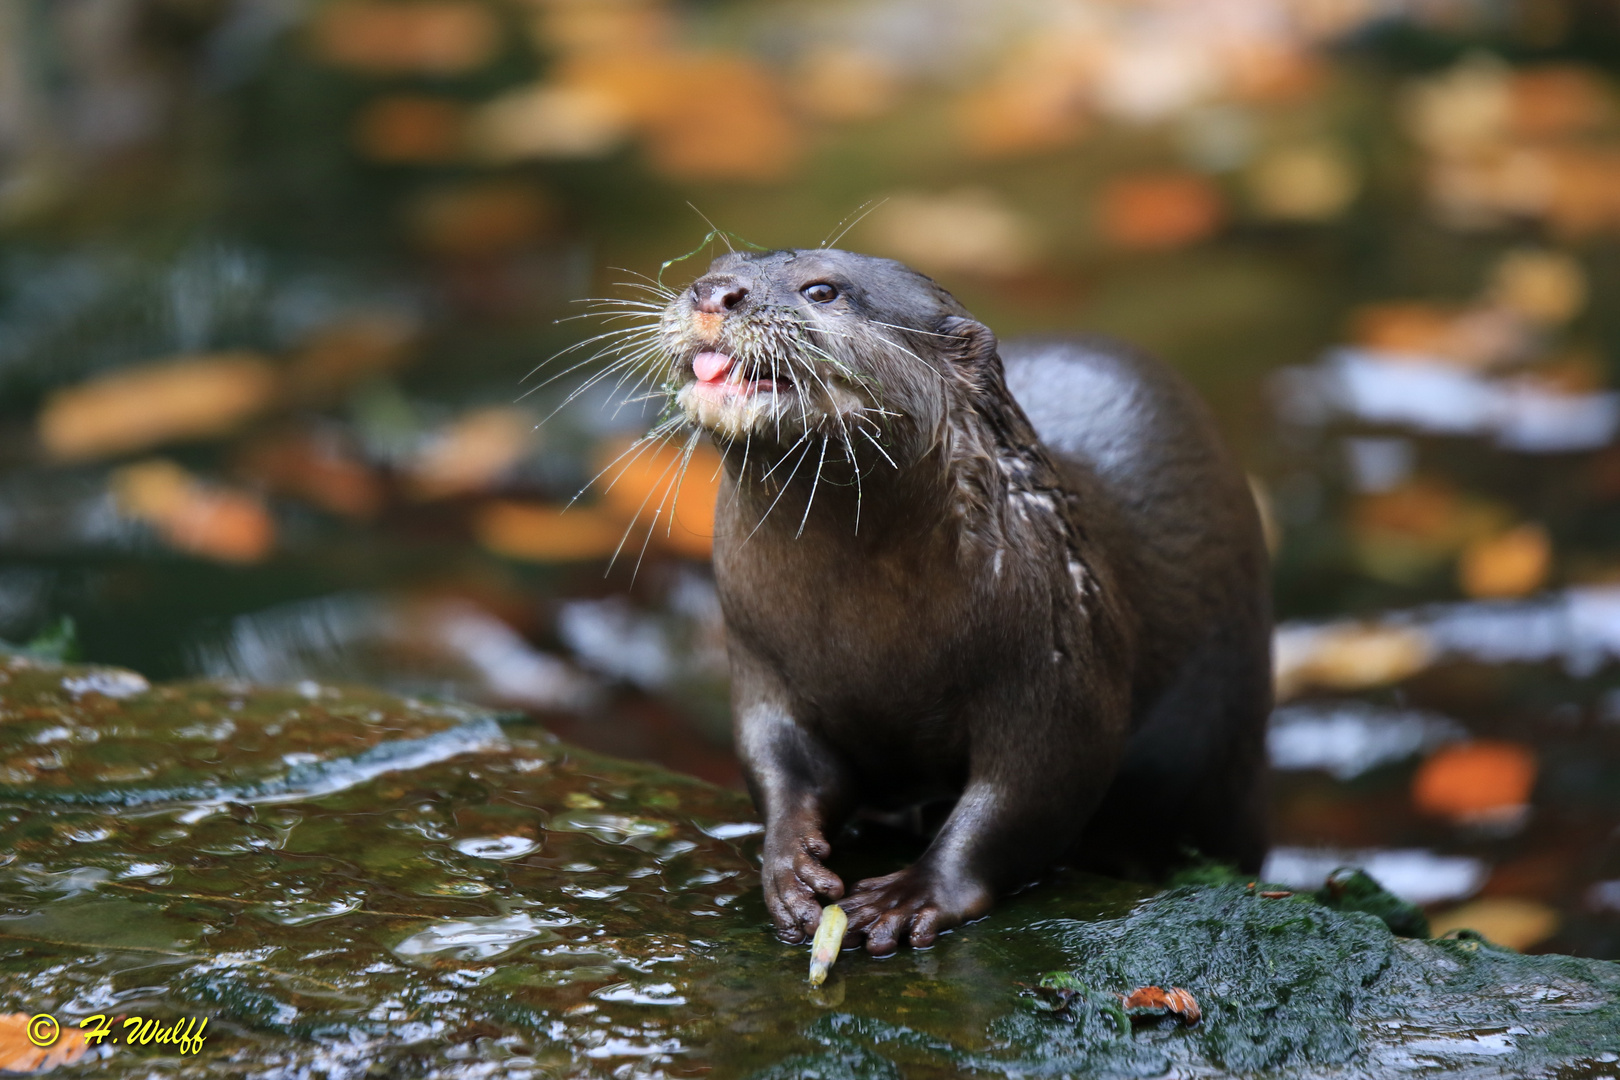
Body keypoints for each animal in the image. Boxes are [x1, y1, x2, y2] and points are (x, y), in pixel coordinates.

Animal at [651, 247, 1270, 952]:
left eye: (823, 290)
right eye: (718, 264)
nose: (714, 291)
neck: (865, 632)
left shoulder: (1056, 659)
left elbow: (1028, 791)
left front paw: (910, 894)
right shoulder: (760, 657)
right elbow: (780, 762)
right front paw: (789, 867)